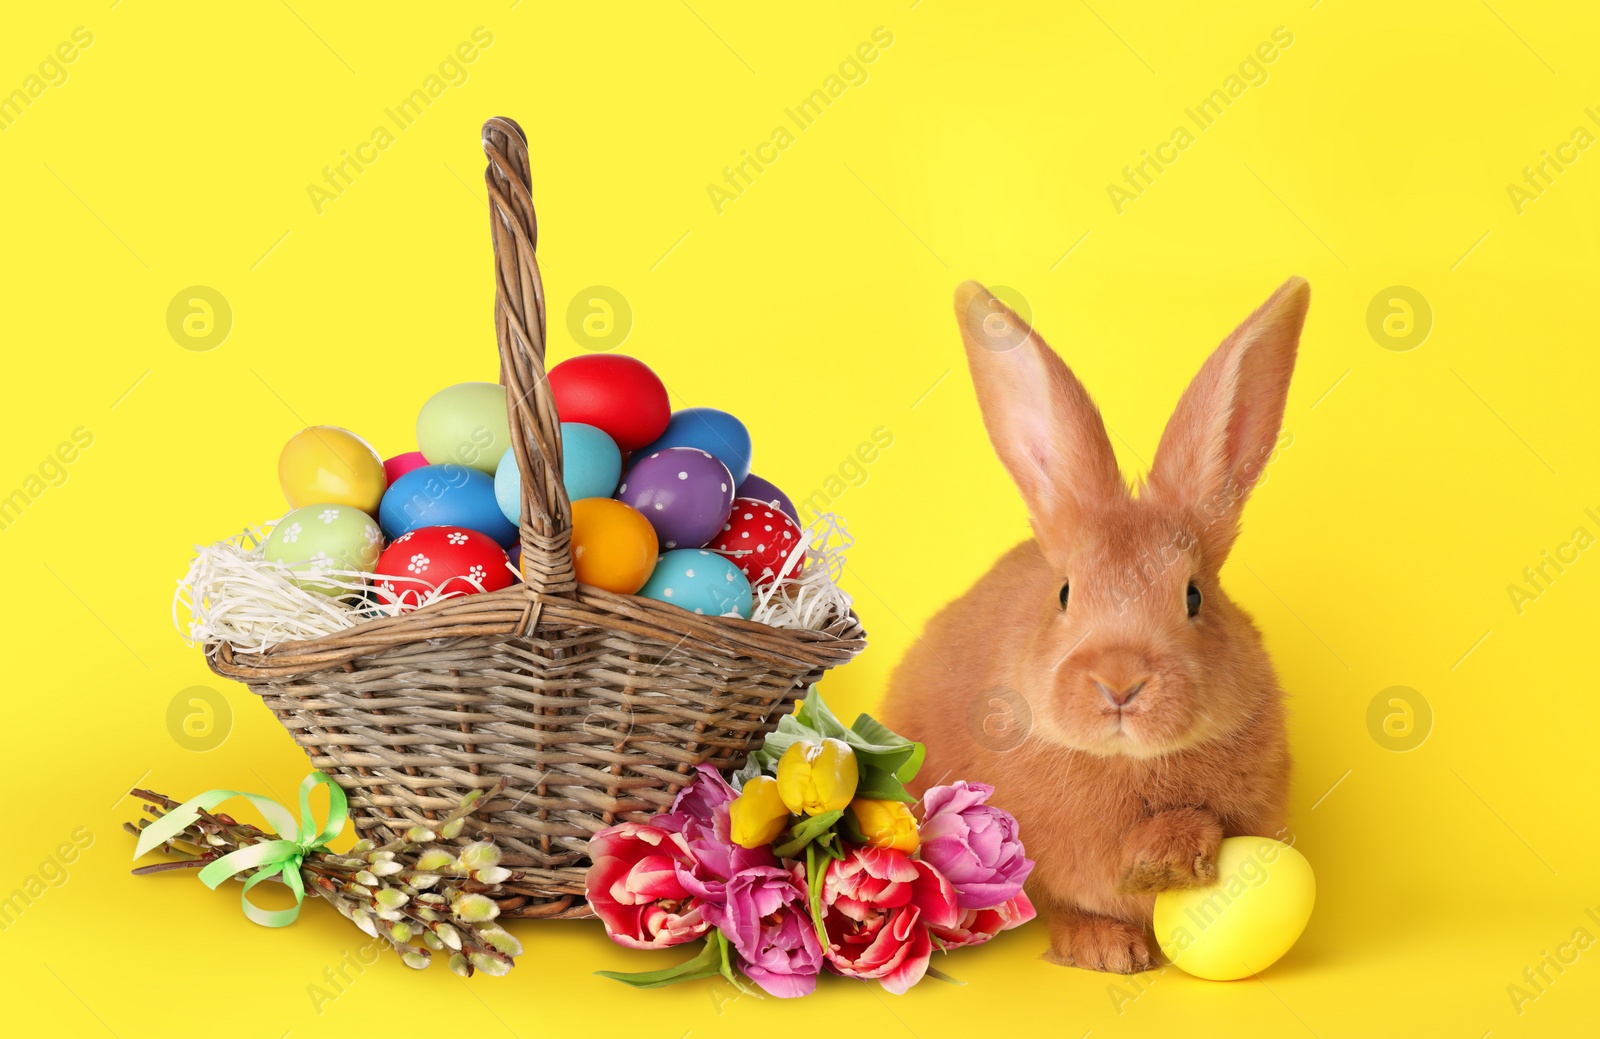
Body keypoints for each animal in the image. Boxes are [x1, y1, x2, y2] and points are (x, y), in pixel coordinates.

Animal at [883, 276, 1305, 973]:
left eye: (1194, 596)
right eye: (1064, 594)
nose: (1120, 683)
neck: (1127, 763)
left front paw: (1163, 861)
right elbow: (1068, 903)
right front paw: (1109, 948)